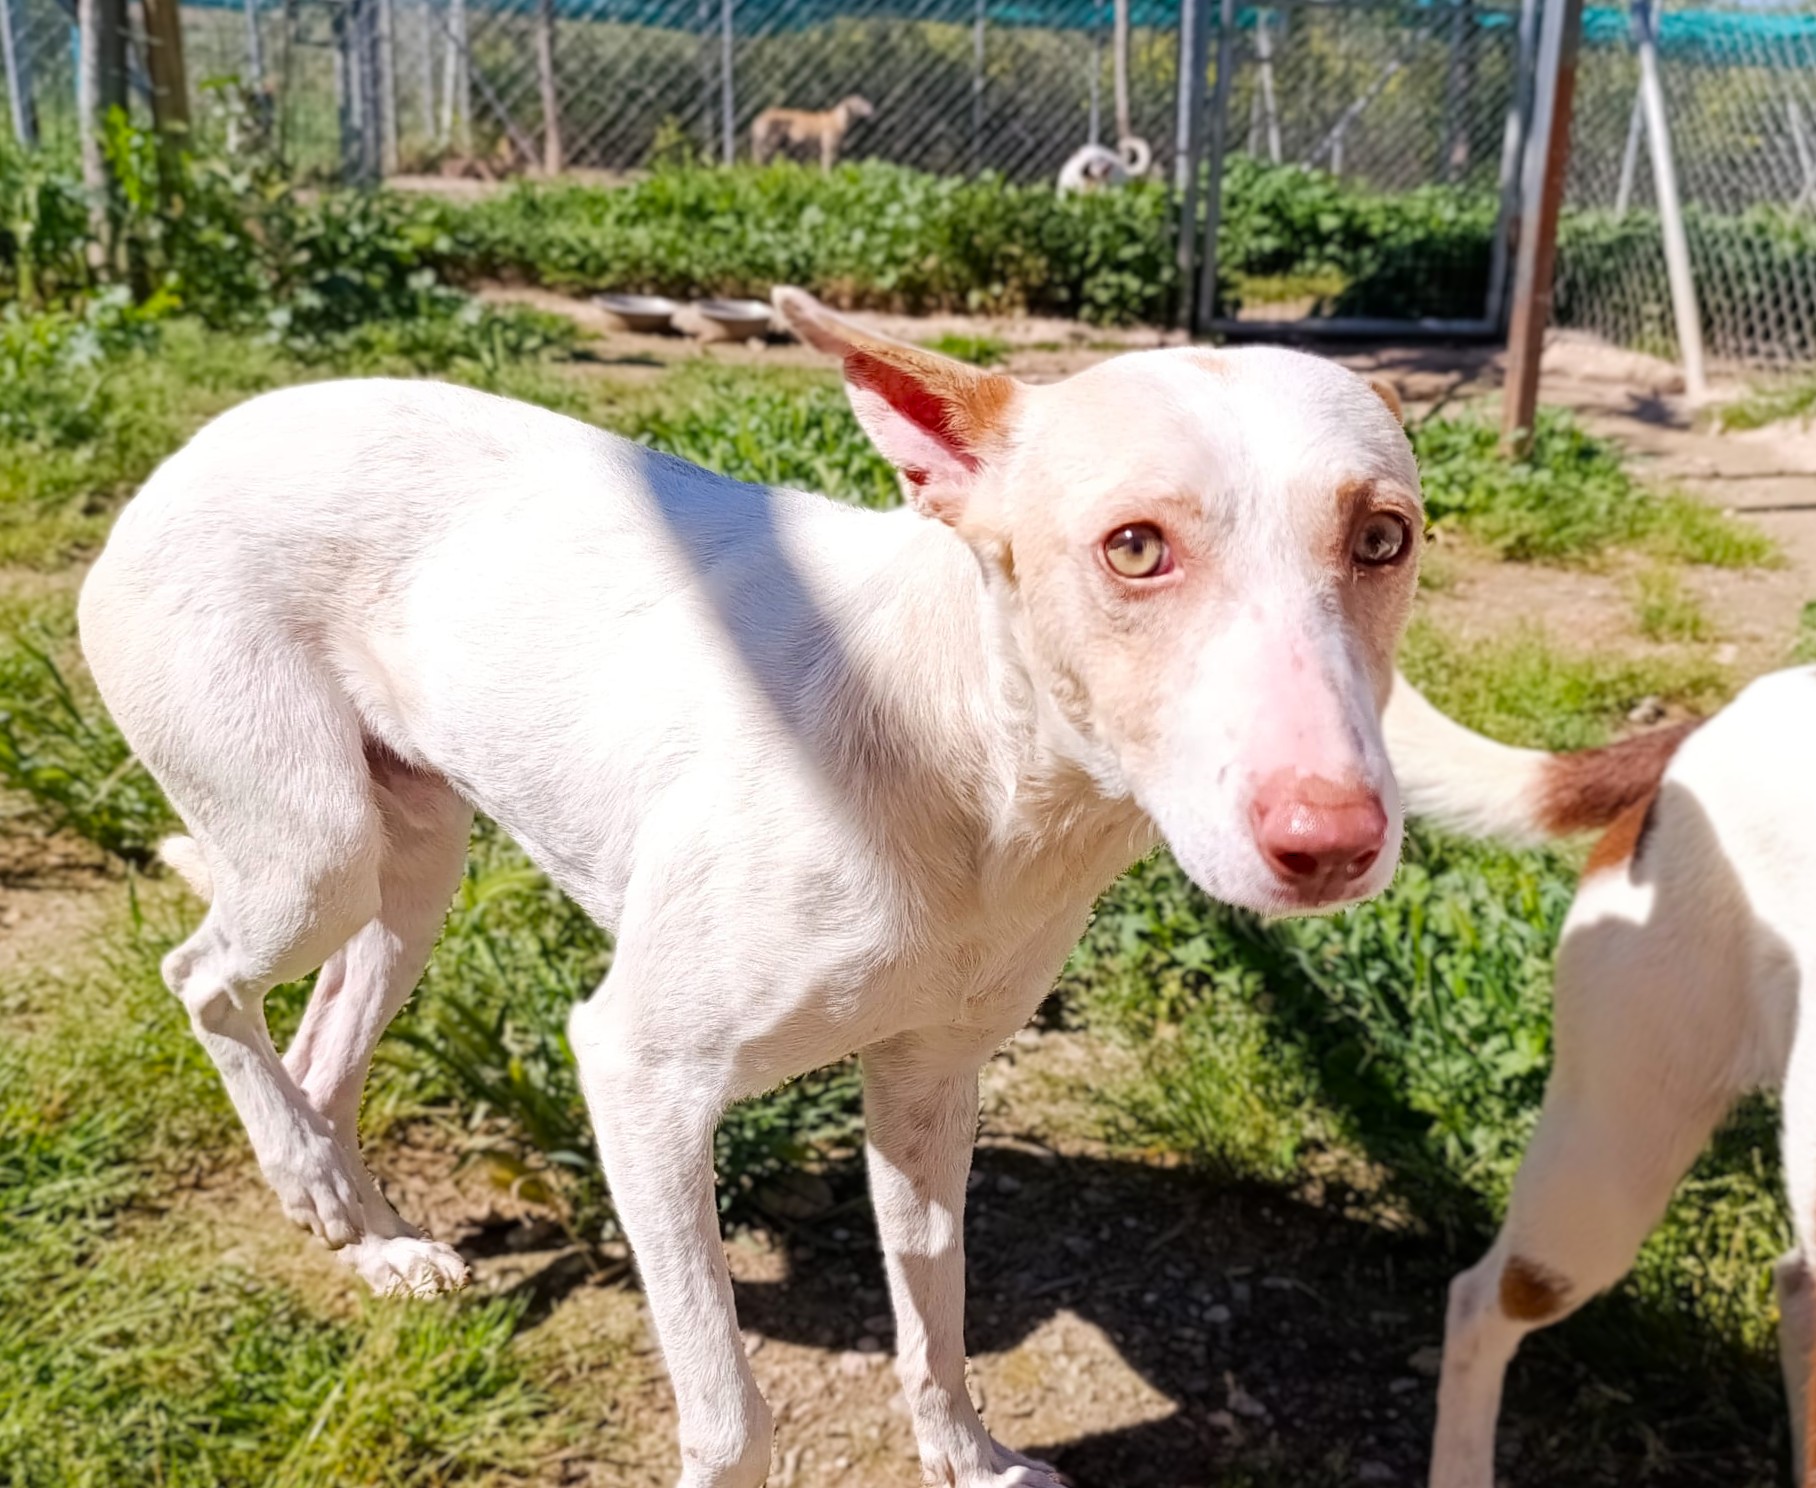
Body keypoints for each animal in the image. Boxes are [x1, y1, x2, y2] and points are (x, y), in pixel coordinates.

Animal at [78, 288, 1419, 1488]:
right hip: (313, 852)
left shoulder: (929, 1081)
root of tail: (201, 443)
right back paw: (306, 1175)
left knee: (320, 1049)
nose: (1335, 839)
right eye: (1134, 547)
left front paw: (969, 1462)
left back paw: (370, 1240)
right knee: (200, 977)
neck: (975, 778)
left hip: (408, 875)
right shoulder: (639, 1078)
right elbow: (733, 1424)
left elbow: (936, 1320)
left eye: (1384, 539)